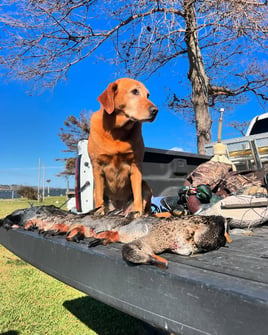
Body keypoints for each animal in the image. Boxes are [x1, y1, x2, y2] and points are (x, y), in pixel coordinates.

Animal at [88, 77, 158, 217]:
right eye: (135, 91)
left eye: (148, 95)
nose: (156, 110)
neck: (117, 132)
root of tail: (120, 210)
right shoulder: (97, 167)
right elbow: (99, 198)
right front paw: (99, 213)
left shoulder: (136, 166)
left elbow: (137, 196)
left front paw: (138, 214)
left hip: (146, 186)